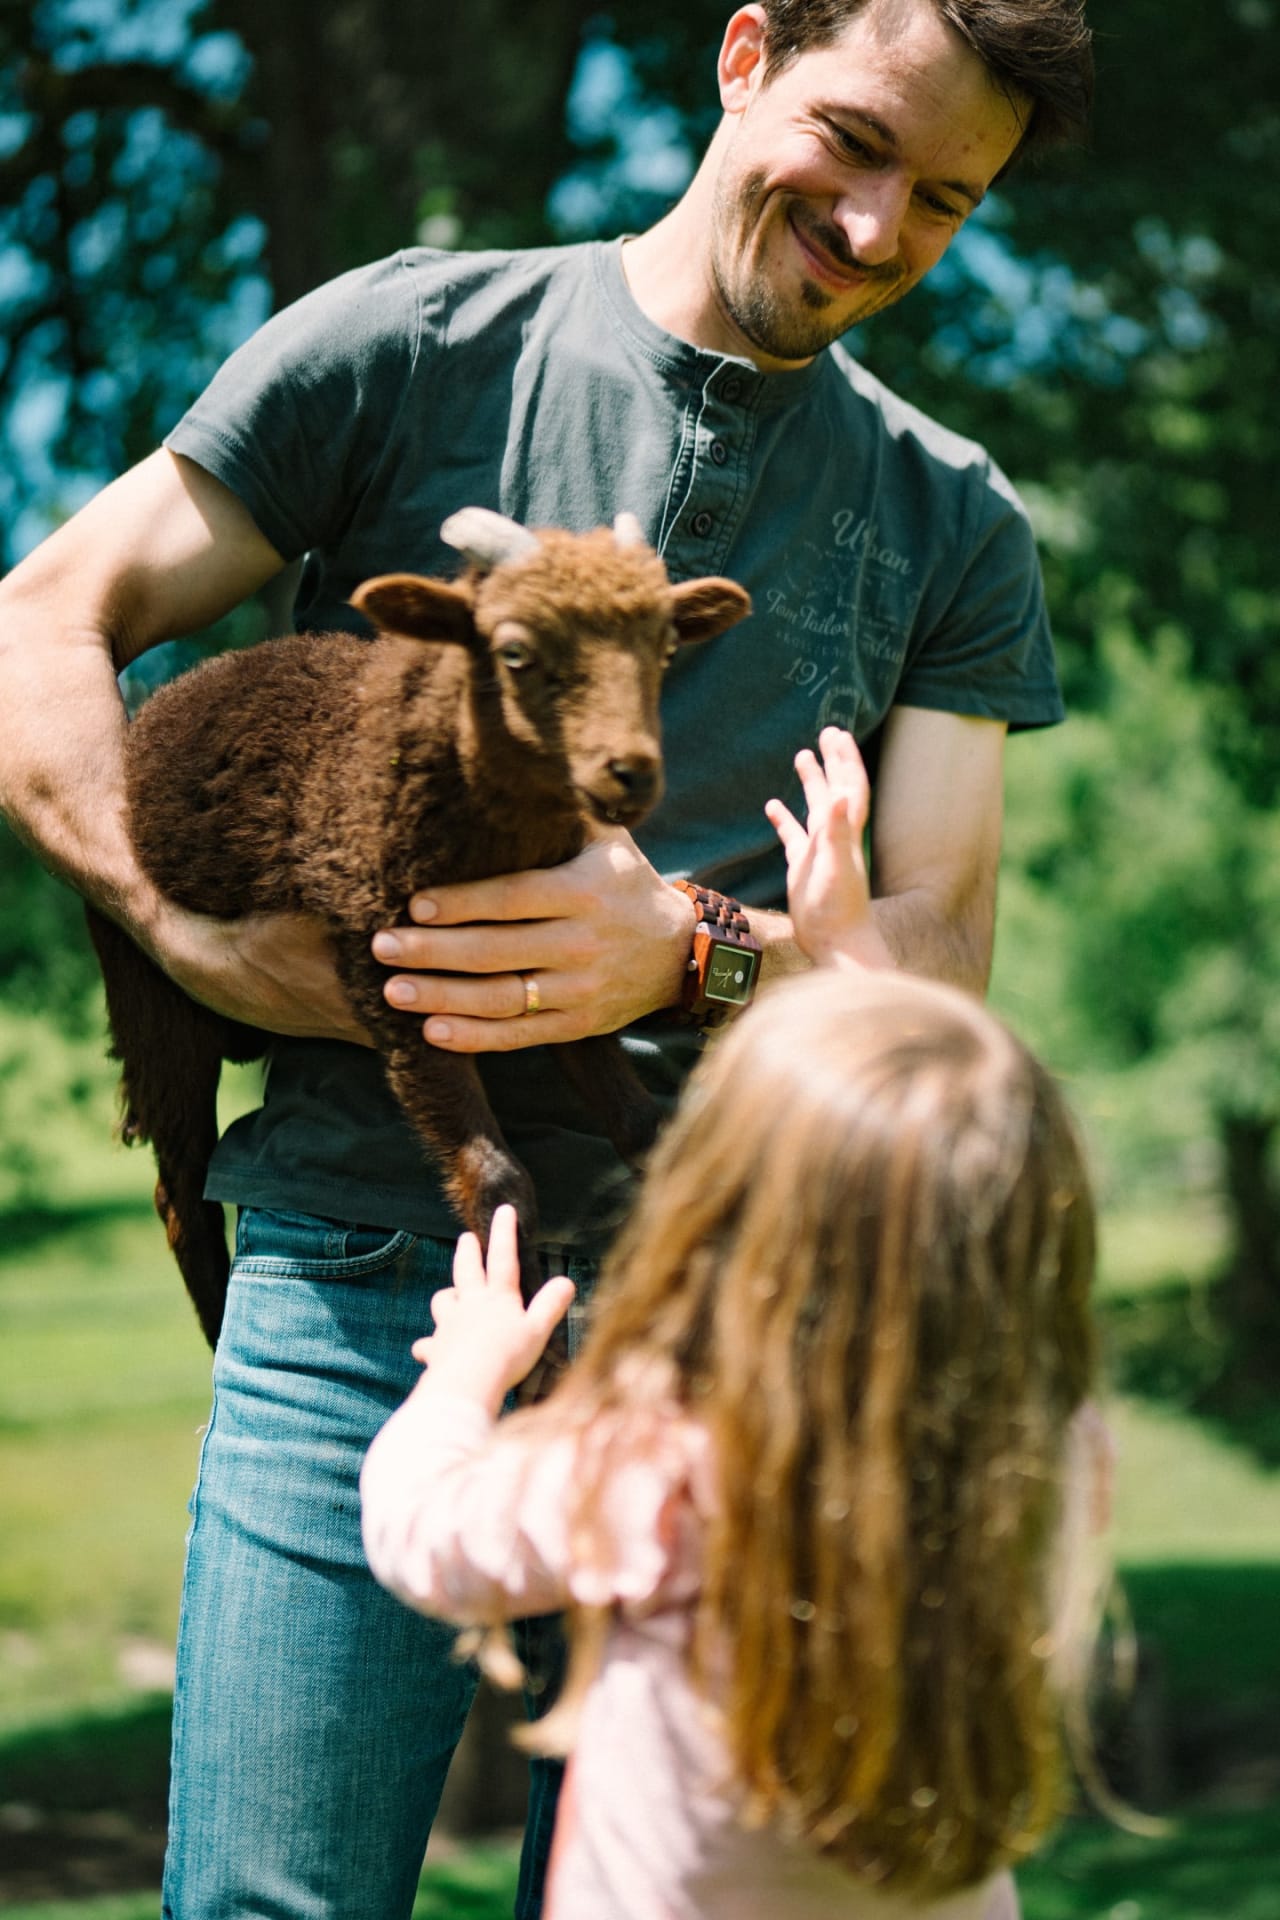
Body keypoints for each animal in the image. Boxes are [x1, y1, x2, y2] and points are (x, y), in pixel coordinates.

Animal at [85, 508, 752, 1354]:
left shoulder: (567, 968)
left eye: (665, 648)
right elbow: (497, 1179)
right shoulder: (387, 965)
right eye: (514, 651)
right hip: (154, 1000)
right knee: (179, 1191)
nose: (631, 772)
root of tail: (167, 699)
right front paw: (518, 1347)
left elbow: (642, 1127)